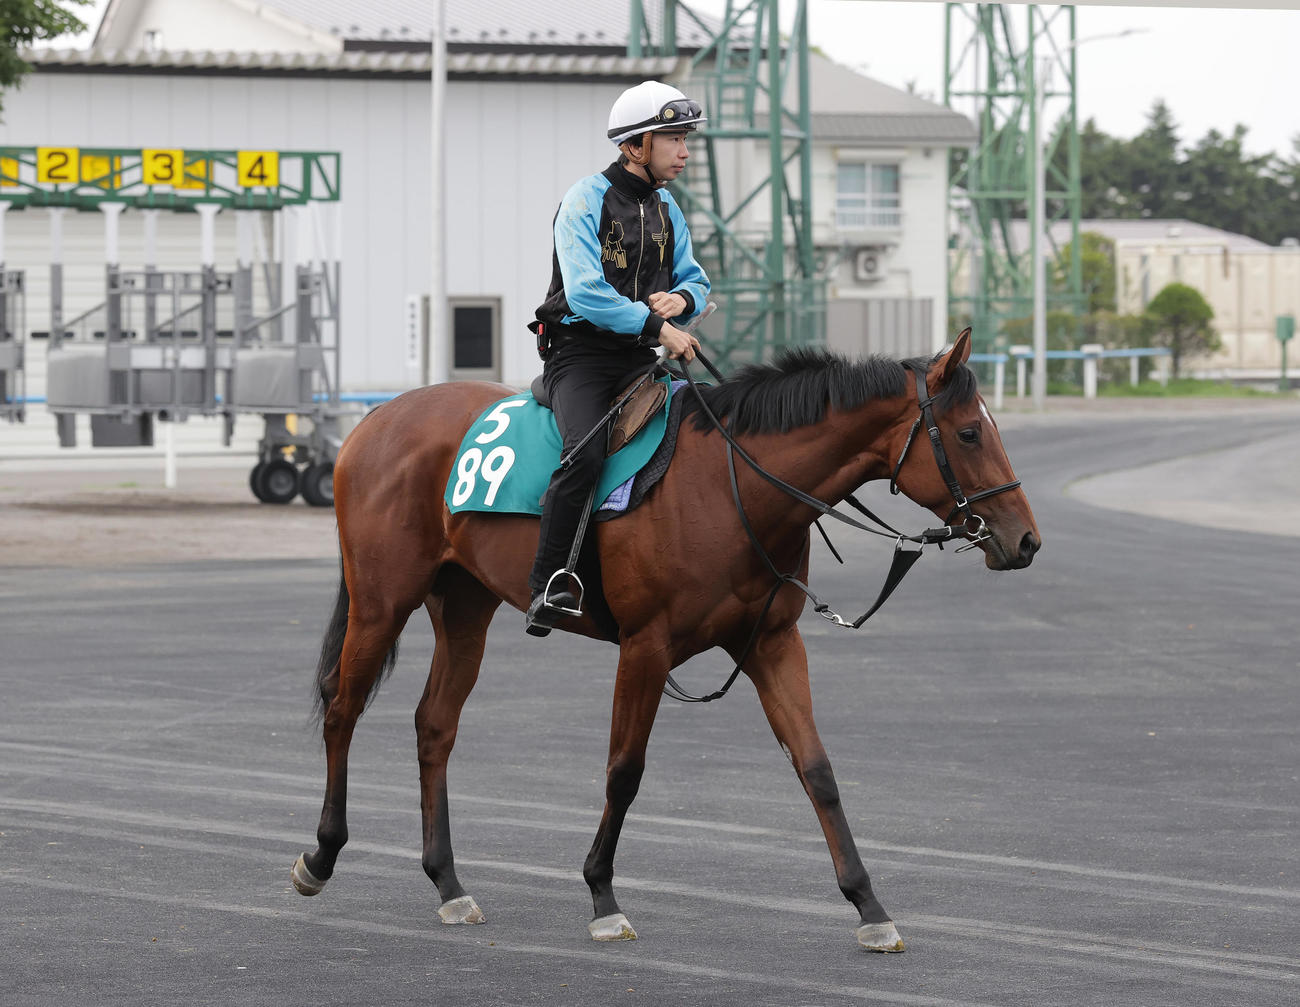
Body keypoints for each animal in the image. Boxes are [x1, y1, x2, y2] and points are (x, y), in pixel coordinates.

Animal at [290, 328, 1040, 952]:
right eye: (969, 433)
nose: (1026, 539)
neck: (731, 486)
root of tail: (377, 420)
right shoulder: (645, 649)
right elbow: (625, 771)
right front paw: (602, 895)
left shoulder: (771, 644)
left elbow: (817, 770)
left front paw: (869, 905)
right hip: (382, 602)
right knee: (342, 710)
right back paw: (321, 855)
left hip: (464, 607)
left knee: (434, 725)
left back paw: (448, 883)